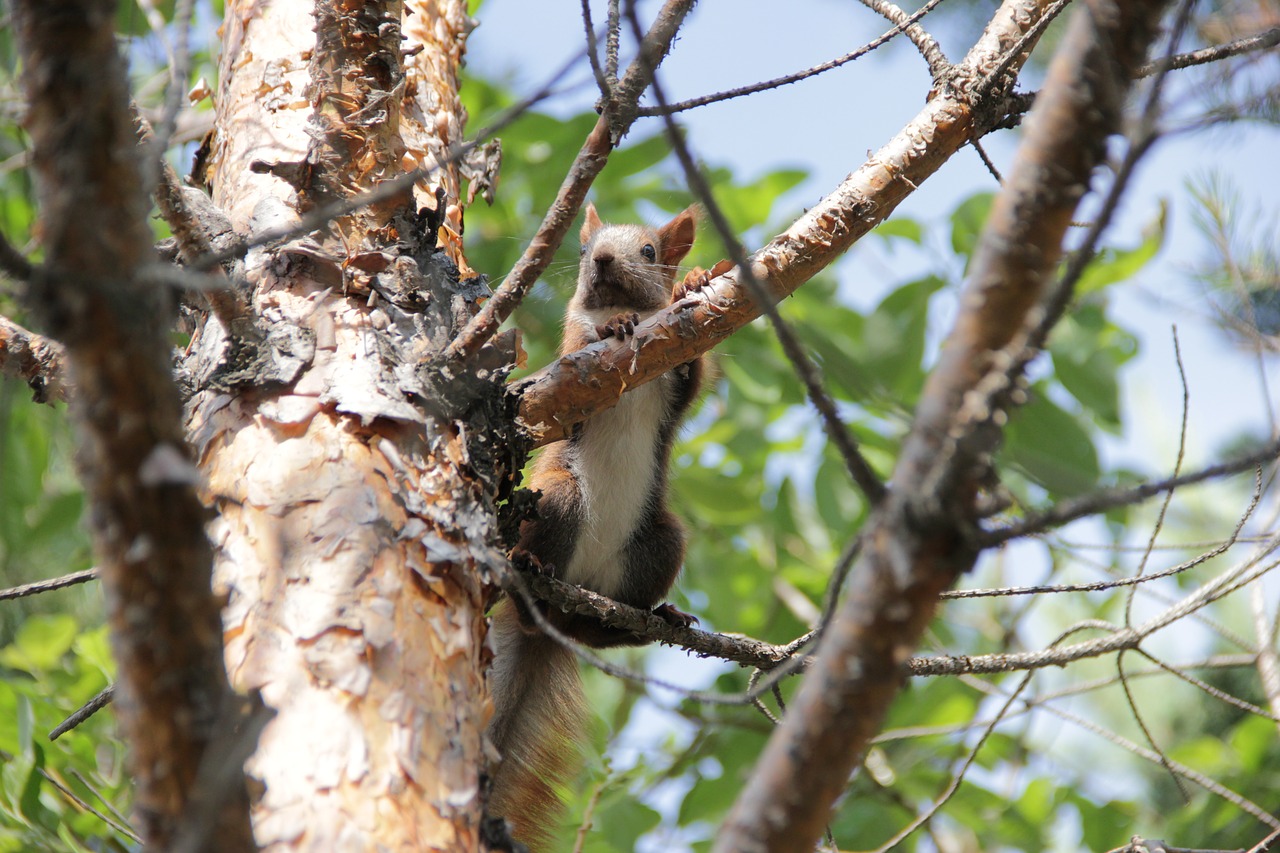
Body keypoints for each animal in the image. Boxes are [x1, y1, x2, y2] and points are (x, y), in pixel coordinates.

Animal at [488, 202, 711, 845]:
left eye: (650, 251)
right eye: (587, 251)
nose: (605, 260)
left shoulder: (675, 382)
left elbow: (691, 382)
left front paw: (692, 283)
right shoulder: (570, 361)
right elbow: (576, 348)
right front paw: (611, 330)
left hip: (660, 542)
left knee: (598, 631)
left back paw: (654, 618)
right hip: (560, 498)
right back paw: (531, 566)